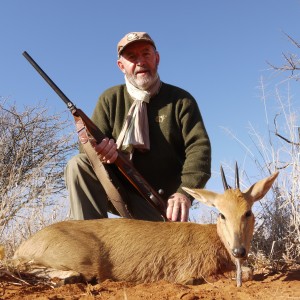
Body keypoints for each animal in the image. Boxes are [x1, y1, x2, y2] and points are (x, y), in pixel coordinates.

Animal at [12, 169, 278, 286]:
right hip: (81, 260)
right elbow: (248, 272)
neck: (216, 240)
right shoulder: (196, 271)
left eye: (248, 212)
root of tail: (25, 245)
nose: (239, 251)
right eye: (221, 214)